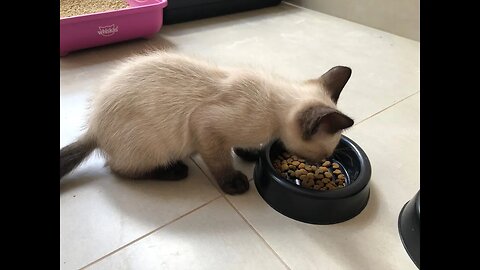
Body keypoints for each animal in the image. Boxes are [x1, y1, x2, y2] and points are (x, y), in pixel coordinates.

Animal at [59, 51, 352, 194]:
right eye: (322, 155)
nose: (319, 163)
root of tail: (93, 129)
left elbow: (240, 146)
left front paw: (251, 153)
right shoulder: (207, 126)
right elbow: (221, 162)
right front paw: (234, 183)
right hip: (151, 145)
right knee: (118, 169)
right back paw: (174, 171)